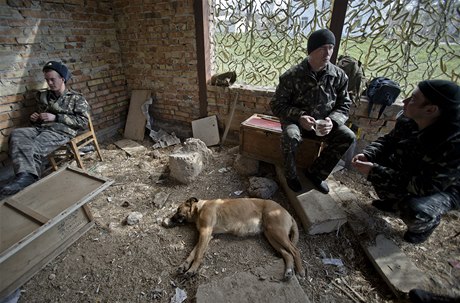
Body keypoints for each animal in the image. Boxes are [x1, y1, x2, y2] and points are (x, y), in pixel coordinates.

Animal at [163, 198, 306, 282]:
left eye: (178, 210)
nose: (168, 220)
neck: (200, 208)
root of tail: (288, 213)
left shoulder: (205, 232)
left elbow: (198, 254)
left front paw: (192, 270)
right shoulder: (207, 235)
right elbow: (194, 252)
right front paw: (185, 265)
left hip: (277, 232)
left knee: (295, 250)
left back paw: (300, 272)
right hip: (272, 236)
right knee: (287, 254)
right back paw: (288, 271)